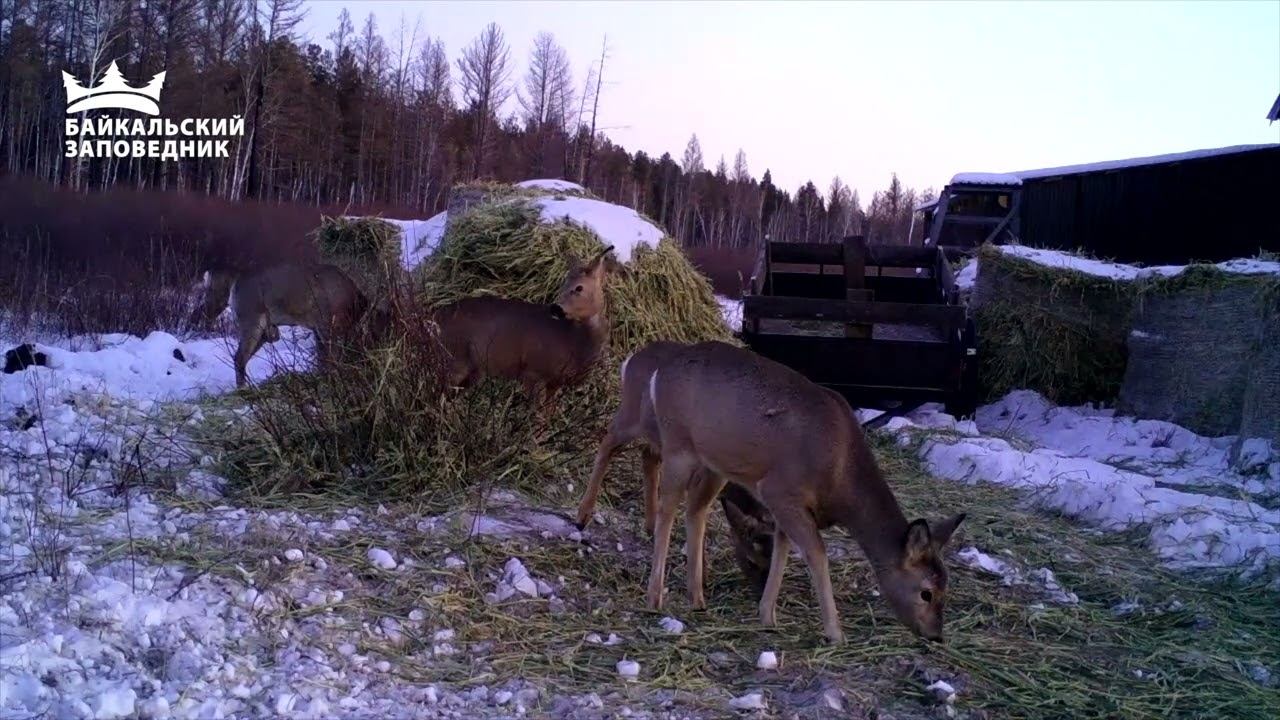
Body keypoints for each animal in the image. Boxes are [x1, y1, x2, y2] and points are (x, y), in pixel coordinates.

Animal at [199, 262, 368, 386]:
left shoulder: (320, 329)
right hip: (251, 320)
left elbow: (323, 360)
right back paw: (244, 389)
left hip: (264, 328)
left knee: (243, 356)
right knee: (239, 357)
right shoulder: (326, 325)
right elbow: (330, 359)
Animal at [576, 340, 773, 594]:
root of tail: (632, 359)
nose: (760, 594)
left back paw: (650, 526)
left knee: (647, 455)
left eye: (773, 561)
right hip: (632, 415)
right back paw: (583, 515)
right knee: (607, 442)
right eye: (751, 560)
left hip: (661, 438)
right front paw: (701, 575)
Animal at [645, 338, 962, 640]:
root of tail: (660, 373)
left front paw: (767, 616)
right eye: (926, 592)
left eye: (947, 586)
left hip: (715, 464)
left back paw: (696, 597)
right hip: (676, 444)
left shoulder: (788, 505)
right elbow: (817, 554)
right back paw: (654, 598)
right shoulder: (780, 490)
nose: (936, 635)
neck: (840, 480)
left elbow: (782, 550)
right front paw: (834, 632)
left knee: (696, 509)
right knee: (667, 509)